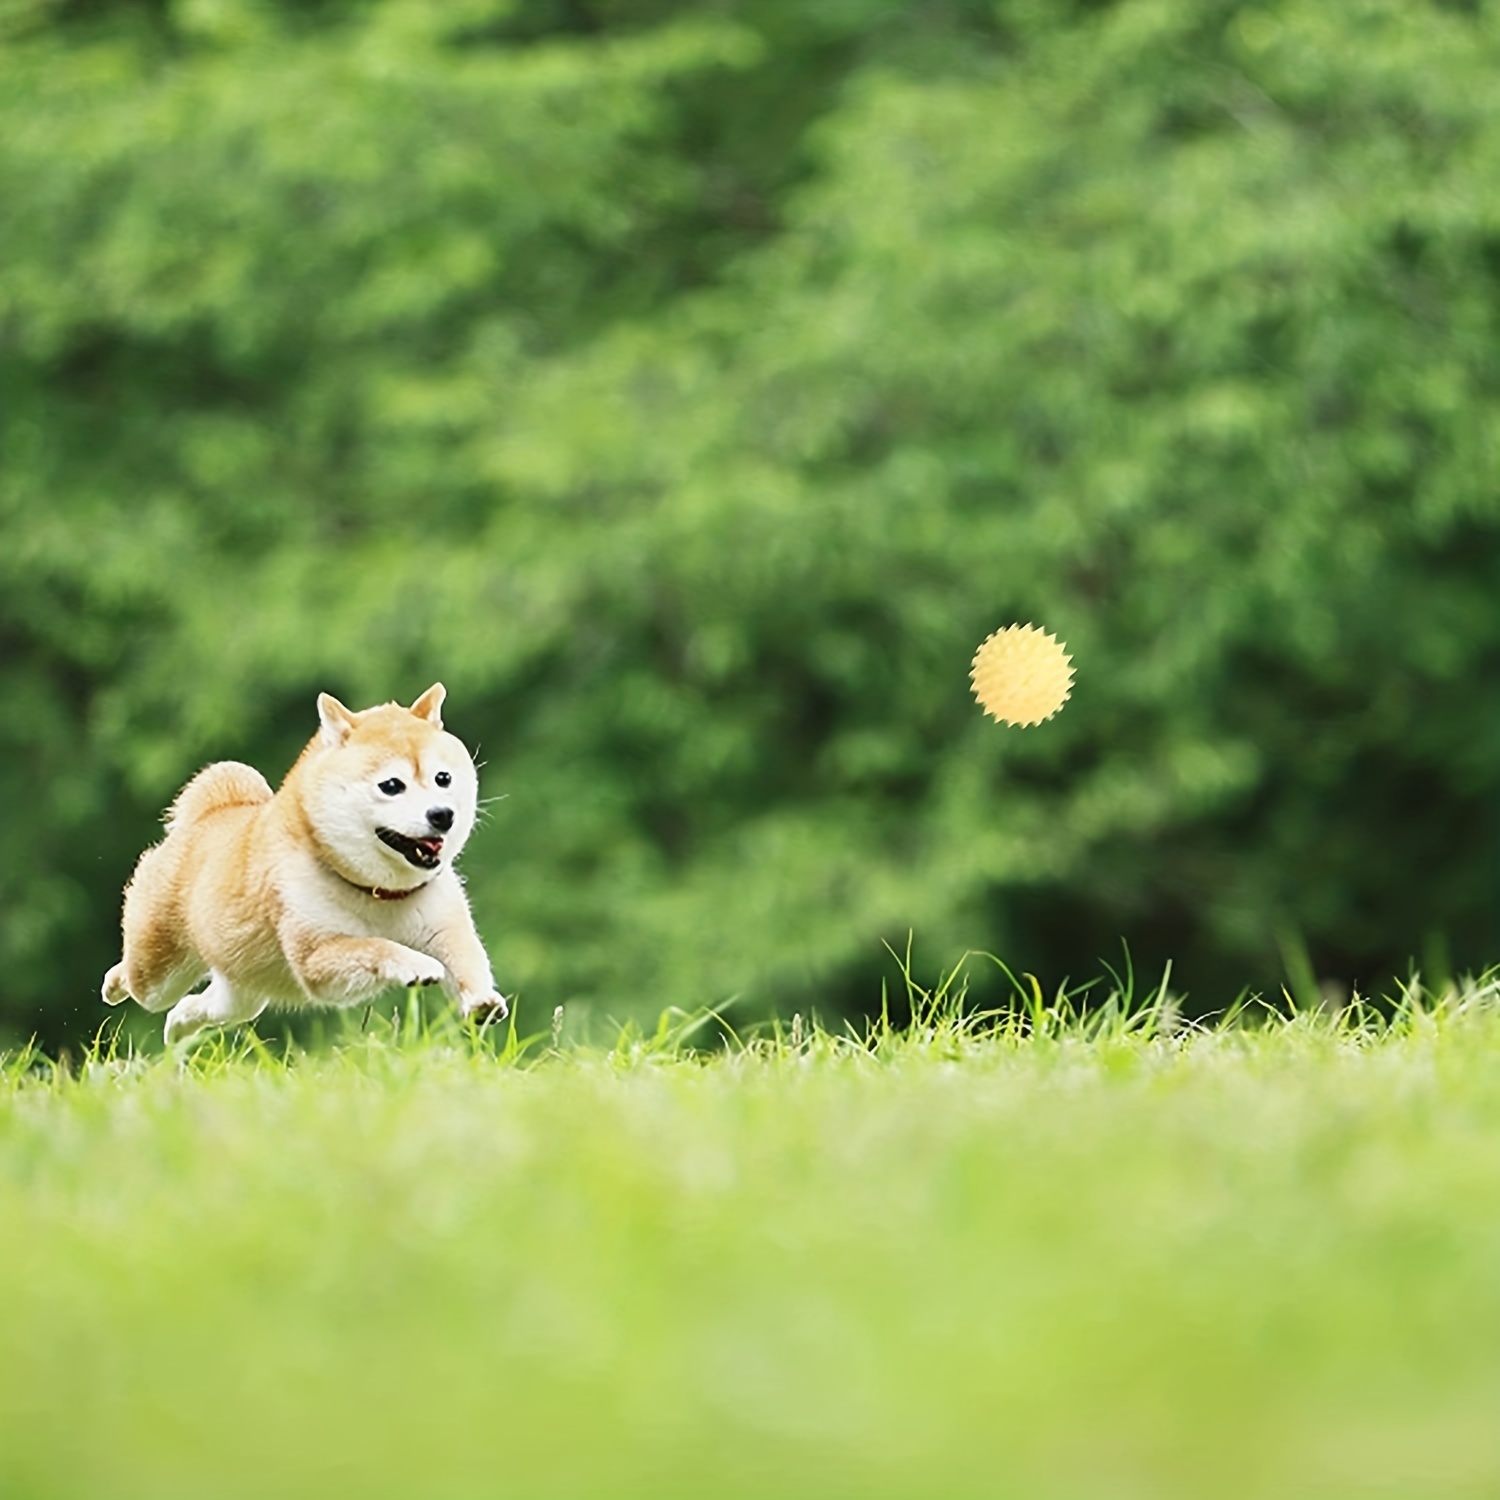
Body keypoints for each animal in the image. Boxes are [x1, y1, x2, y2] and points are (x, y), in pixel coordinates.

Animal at [104, 684, 510, 1044]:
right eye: (392, 786)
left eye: (443, 778)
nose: (442, 814)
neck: (379, 893)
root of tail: (211, 814)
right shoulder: (316, 956)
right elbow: (377, 947)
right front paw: (416, 964)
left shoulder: (444, 926)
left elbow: (467, 960)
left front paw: (481, 1000)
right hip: (159, 972)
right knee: (140, 981)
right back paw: (114, 984)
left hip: (243, 993)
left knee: (195, 1007)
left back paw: (178, 1030)